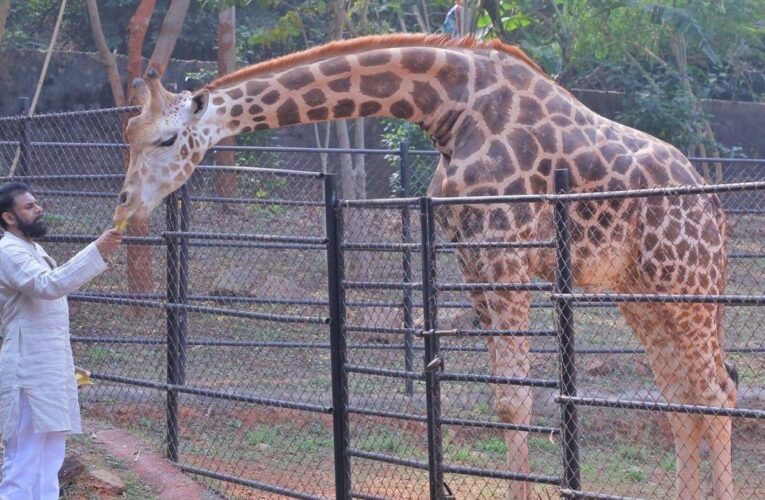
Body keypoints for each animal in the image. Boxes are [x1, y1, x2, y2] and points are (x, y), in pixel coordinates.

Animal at [112, 34, 737, 499]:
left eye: (166, 139)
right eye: (128, 136)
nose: (124, 208)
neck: (449, 108)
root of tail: (713, 204)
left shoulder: (504, 248)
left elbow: (517, 398)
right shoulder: (470, 256)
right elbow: (500, 397)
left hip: (686, 280)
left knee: (717, 388)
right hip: (641, 291)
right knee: (681, 396)